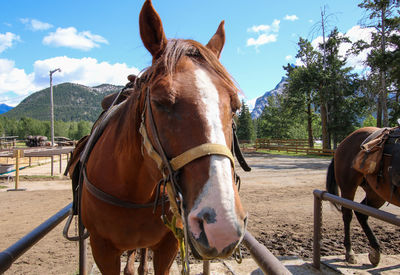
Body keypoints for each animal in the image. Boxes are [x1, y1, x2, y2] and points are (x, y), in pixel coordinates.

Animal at [73, 1, 247, 274]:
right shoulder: (103, 250)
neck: (132, 191)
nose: (221, 227)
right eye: (160, 101)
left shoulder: (168, 246)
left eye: (236, 106)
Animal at [324, 127, 400, 268]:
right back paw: (350, 253)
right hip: (349, 187)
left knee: (361, 213)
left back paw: (375, 252)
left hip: (376, 193)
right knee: (348, 214)